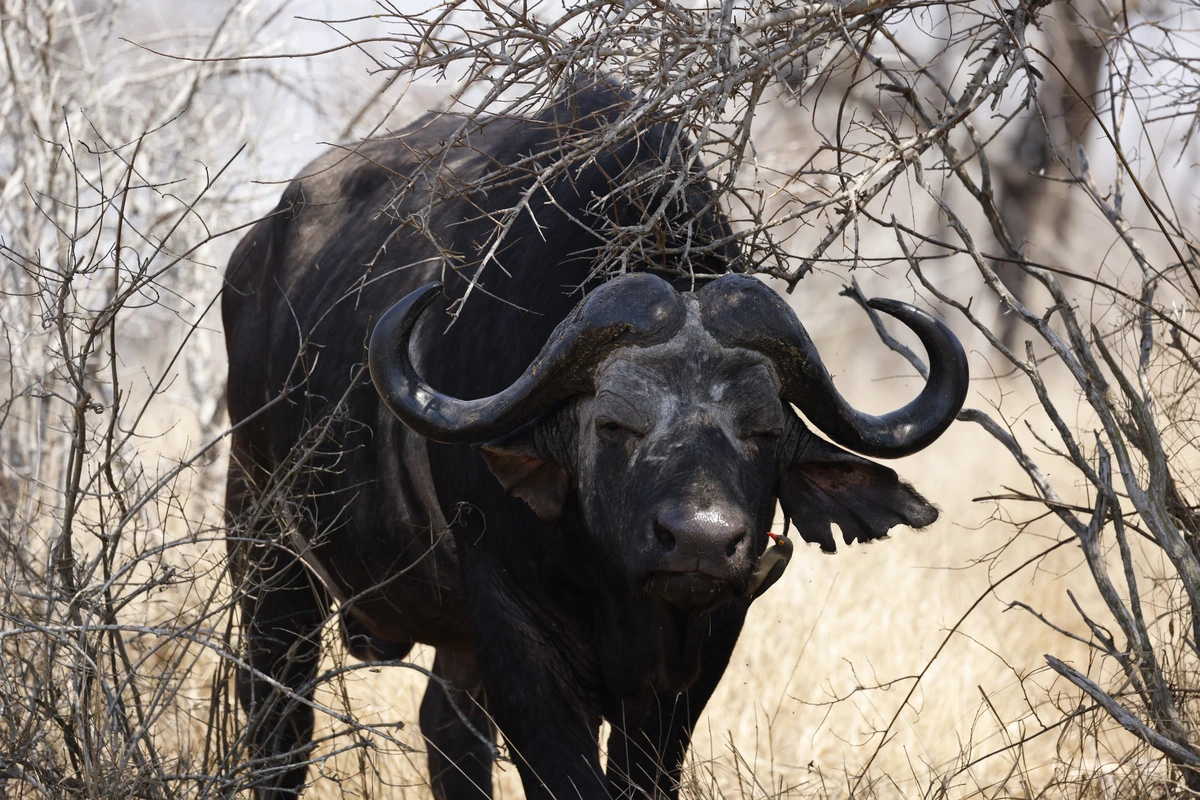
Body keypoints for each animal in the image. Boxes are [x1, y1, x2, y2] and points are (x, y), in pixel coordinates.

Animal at [225, 81, 969, 800]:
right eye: (614, 426)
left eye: (762, 431)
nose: (700, 540)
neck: (619, 590)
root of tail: (256, 257)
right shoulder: (518, 640)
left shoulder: (699, 654)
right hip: (266, 555)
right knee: (278, 725)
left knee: (447, 729)